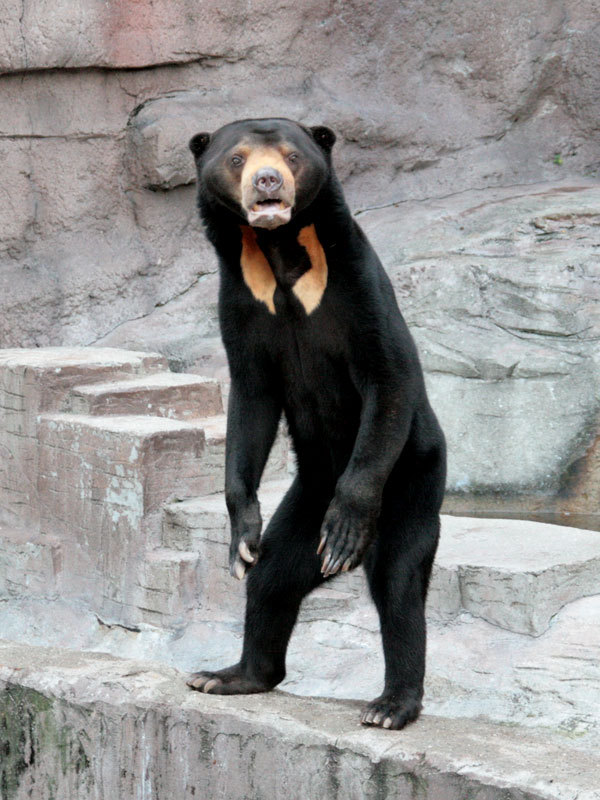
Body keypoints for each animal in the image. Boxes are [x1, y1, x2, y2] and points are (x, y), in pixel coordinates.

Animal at [188, 119, 446, 732]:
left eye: (290, 156)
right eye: (236, 158)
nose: (266, 182)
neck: (280, 254)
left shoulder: (357, 286)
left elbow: (389, 374)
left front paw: (347, 525)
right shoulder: (239, 302)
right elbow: (251, 399)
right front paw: (241, 535)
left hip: (415, 477)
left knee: (399, 582)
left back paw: (391, 705)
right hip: (308, 496)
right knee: (277, 573)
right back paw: (231, 675)